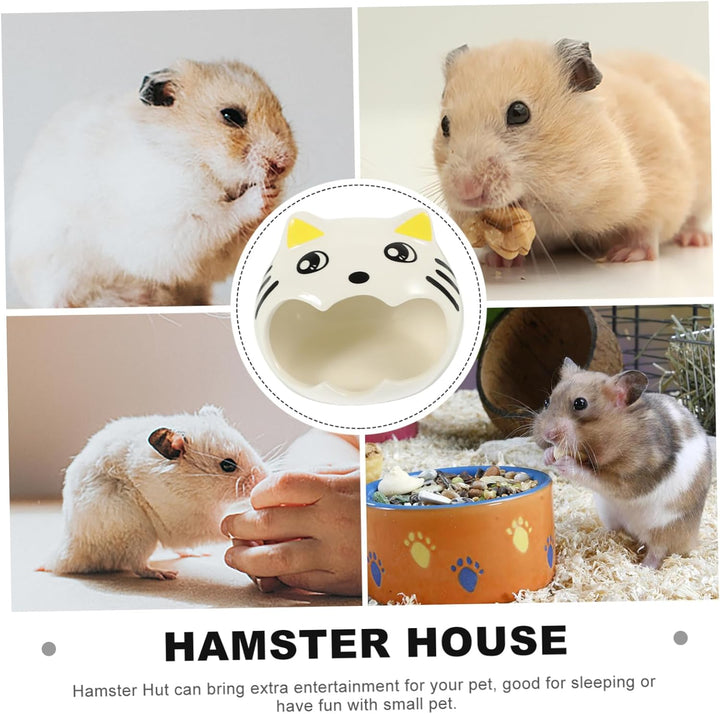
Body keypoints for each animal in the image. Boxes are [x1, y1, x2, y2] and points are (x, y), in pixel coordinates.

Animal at [10, 59, 297, 307]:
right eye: (231, 115)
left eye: (282, 112)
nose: (283, 163)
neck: (194, 156)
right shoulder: (176, 224)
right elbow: (221, 218)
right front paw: (261, 195)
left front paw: (275, 193)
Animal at [44, 405, 266, 580]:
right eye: (228, 465)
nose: (263, 478)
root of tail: (67, 553)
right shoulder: (188, 521)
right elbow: (220, 527)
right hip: (137, 532)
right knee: (137, 565)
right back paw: (163, 574)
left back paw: (196, 556)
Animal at [434, 39, 711, 264]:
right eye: (445, 124)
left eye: (518, 112)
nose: (466, 191)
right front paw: (497, 261)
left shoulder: (664, 179)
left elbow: (647, 228)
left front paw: (625, 255)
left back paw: (695, 239)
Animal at [533, 358, 712, 568]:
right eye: (547, 401)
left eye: (580, 403)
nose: (548, 435)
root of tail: (693, 540)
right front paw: (549, 455)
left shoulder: (630, 478)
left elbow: (594, 476)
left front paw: (564, 462)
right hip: (610, 515)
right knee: (617, 531)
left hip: (666, 527)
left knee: (658, 550)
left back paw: (644, 567)